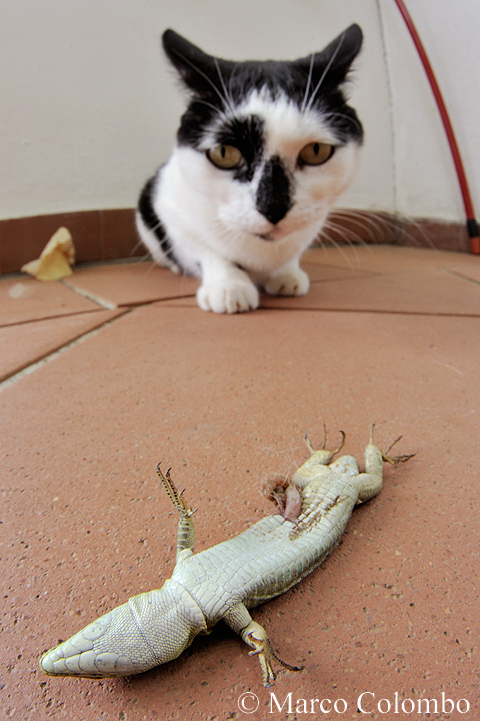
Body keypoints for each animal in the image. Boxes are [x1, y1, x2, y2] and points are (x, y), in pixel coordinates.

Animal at [137, 26, 362, 312]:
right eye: (224, 153)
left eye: (316, 151)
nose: (273, 207)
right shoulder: (171, 208)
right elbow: (207, 250)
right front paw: (229, 285)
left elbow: (292, 253)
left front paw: (287, 275)